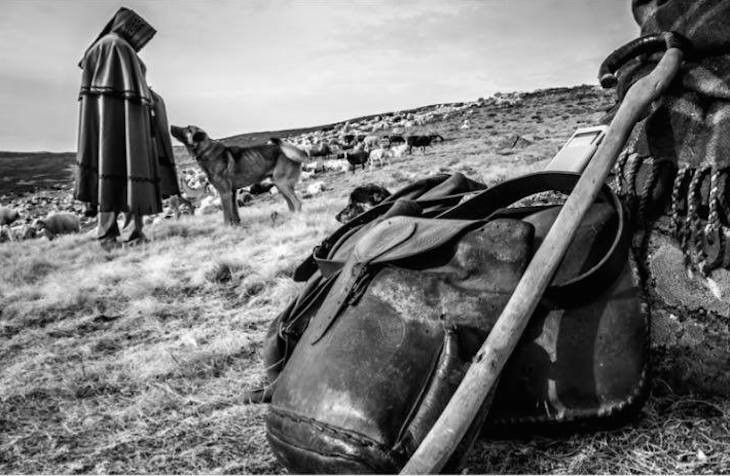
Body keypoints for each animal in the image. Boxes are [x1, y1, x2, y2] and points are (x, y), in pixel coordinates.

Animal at [171, 124, 308, 225]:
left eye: (188, 129)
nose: (171, 126)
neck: (206, 151)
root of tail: (297, 151)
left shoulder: (224, 193)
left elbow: (226, 216)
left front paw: (227, 229)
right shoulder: (232, 192)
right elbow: (234, 213)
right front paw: (237, 226)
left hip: (282, 183)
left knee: (297, 203)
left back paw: (297, 219)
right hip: (279, 185)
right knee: (291, 205)